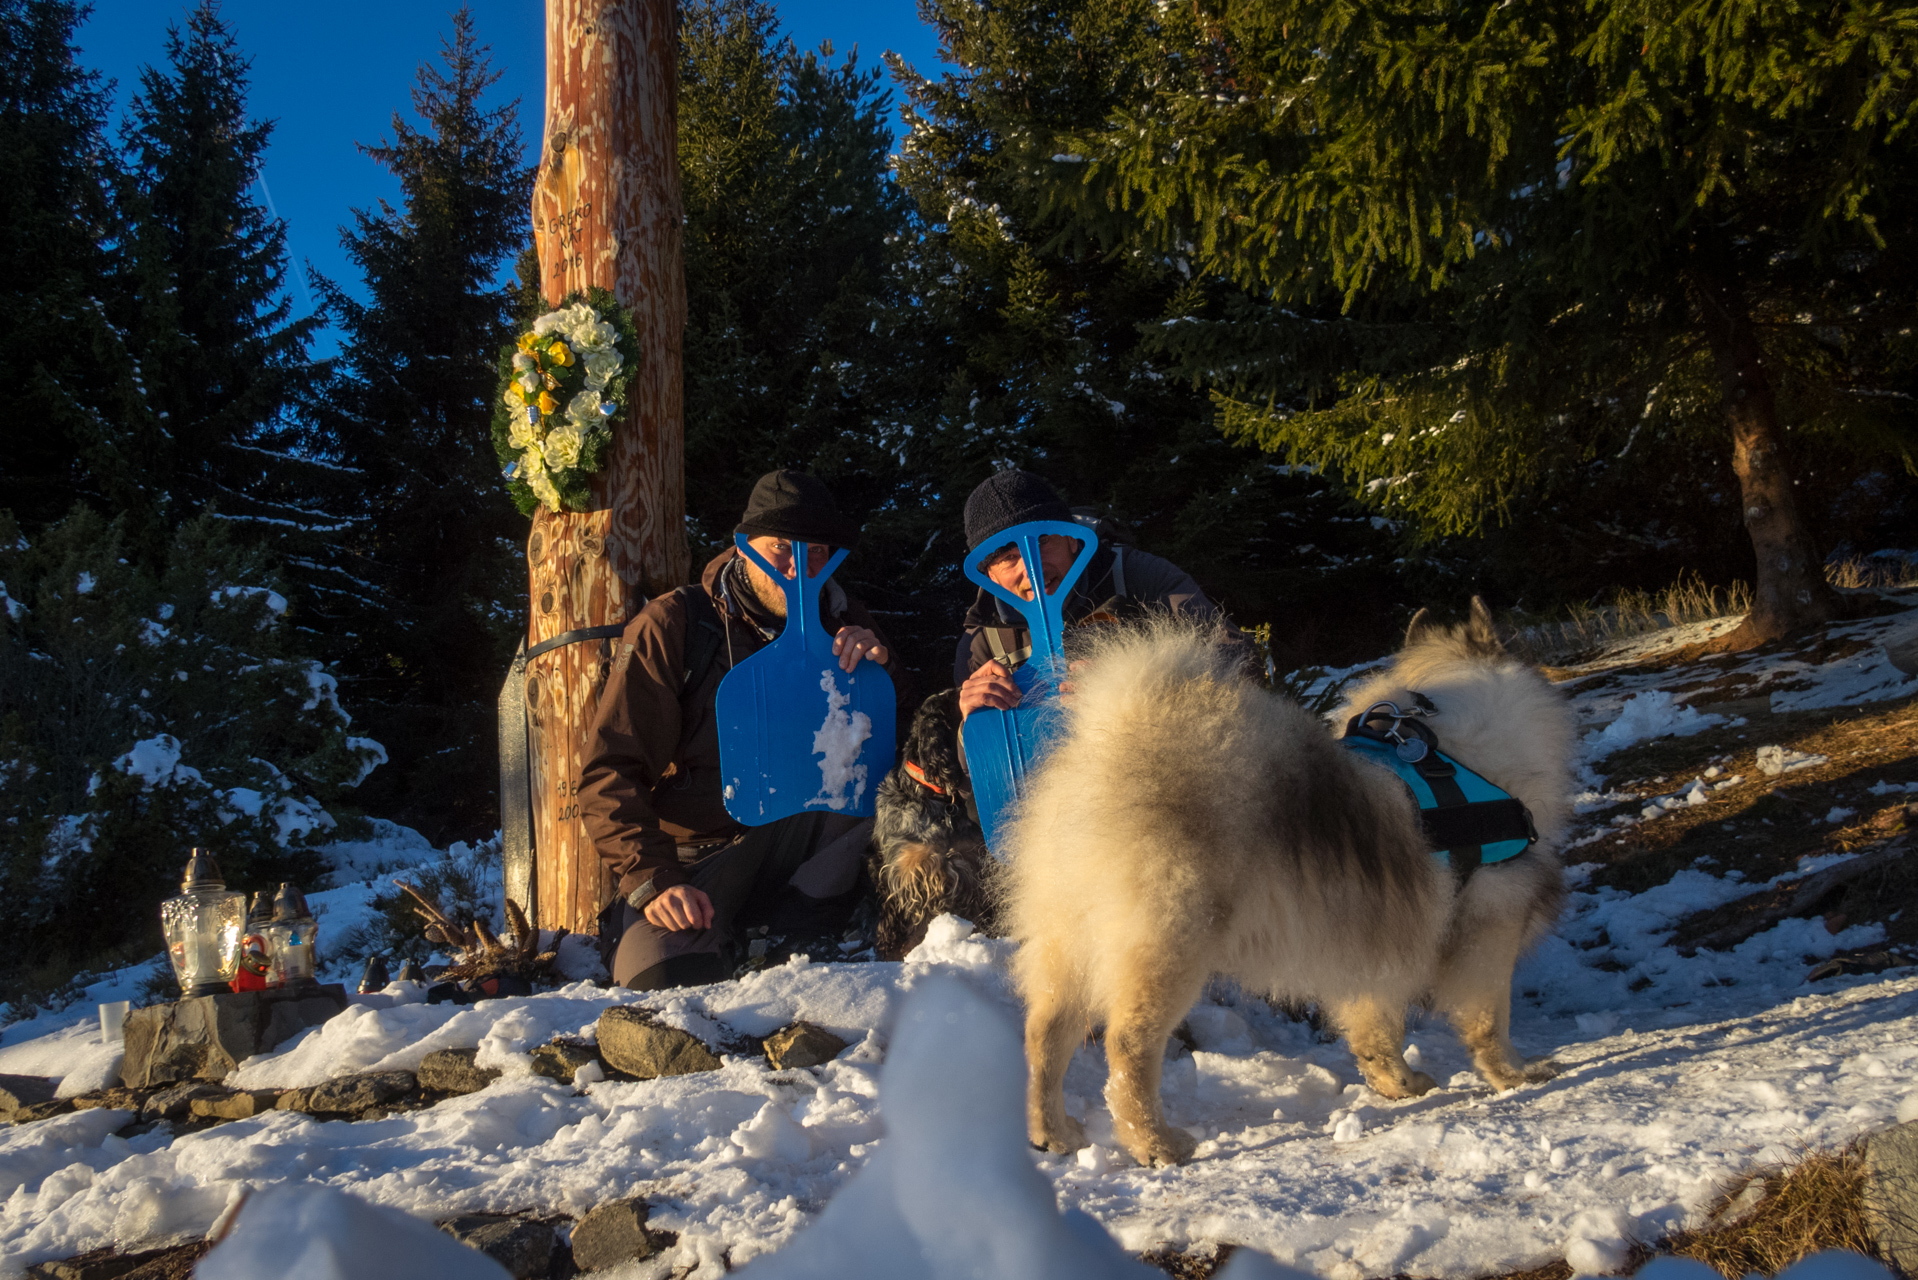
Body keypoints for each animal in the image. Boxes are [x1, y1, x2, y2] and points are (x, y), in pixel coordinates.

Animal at [1005, 602, 1572, 1174]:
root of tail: (1109, 747)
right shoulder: (1489, 919)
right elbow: (1488, 1019)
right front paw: (1514, 1075)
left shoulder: (1377, 933)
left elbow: (1377, 1024)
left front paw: (1399, 1082)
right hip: (1170, 944)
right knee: (1128, 1047)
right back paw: (1156, 1144)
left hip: (1067, 941)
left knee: (1045, 1036)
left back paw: (1053, 1133)